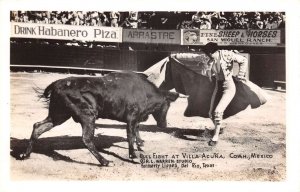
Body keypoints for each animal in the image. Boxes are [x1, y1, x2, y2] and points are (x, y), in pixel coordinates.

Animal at [21, 71, 180, 166]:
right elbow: (131, 135)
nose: (164, 125)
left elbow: (136, 131)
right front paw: (133, 156)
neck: (146, 93)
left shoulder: (136, 118)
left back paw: (25, 155)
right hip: (87, 115)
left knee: (38, 126)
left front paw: (140, 144)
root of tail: (57, 83)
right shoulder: (131, 118)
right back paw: (105, 161)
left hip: (59, 115)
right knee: (86, 139)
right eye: (168, 105)